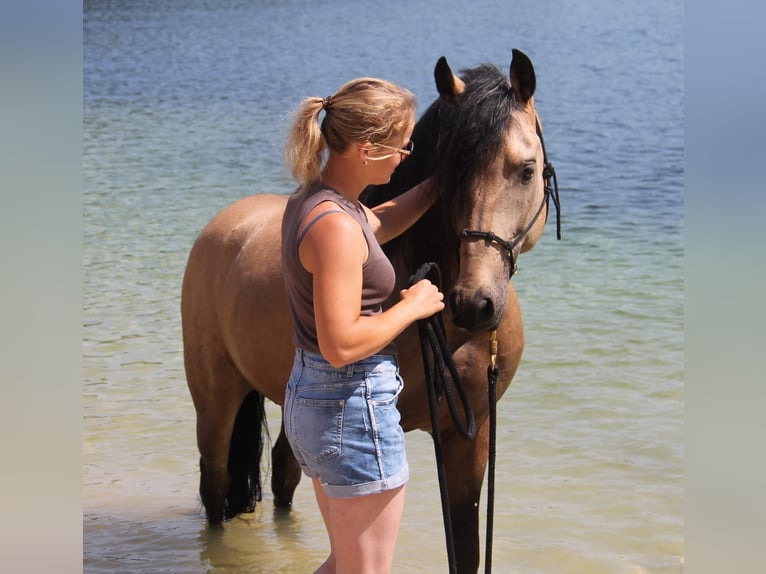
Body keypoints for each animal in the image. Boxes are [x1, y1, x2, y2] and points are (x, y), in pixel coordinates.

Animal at [181, 48, 558, 573]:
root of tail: (227, 225)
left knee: (284, 471)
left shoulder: (471, 433)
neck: (450, 332)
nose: (474, 302)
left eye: (526, 169)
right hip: (216, 399)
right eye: (451, 174)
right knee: (215, 486)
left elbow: (464, 547)